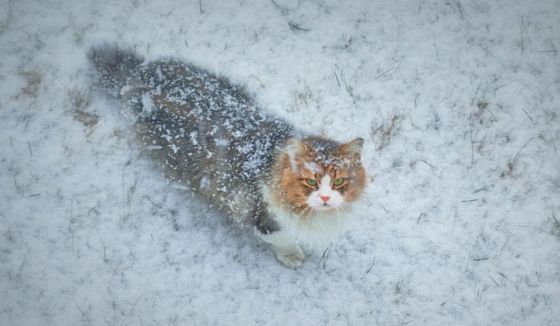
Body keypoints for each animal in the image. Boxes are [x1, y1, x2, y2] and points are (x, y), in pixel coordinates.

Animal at [87, 44, 368, 266]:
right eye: (310, 181)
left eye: (339, 181)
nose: (326, 197)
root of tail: (140, 70)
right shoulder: (260, 212)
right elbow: (281, 237)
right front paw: (292, 255)